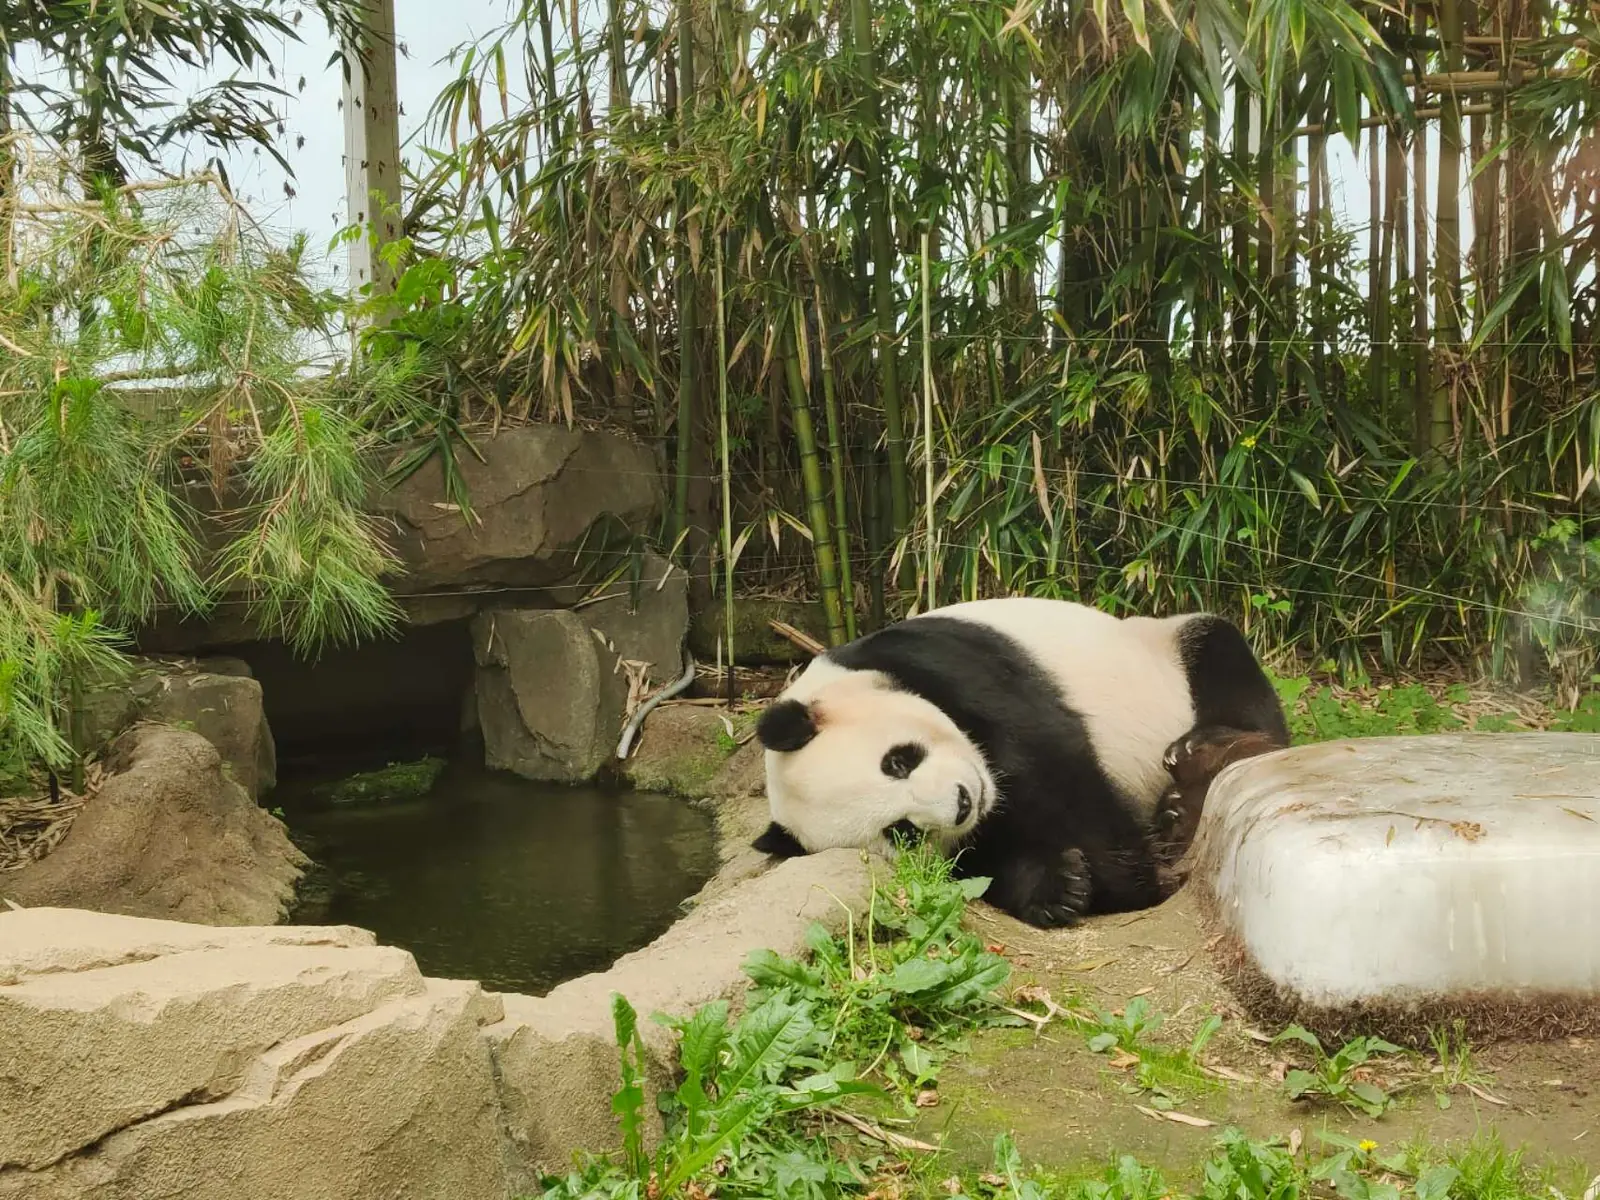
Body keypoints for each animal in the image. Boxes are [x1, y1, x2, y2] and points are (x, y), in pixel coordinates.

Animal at [751, 596, 1289, 928]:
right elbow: (979, 861)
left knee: (1219, 652)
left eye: (898, 762)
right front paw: (1058, 886)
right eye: (901, 831)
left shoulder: (946, 664)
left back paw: (1202, 764)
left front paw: (1138, 883)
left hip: (1163, 647)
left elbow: (1056, 764)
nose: (961, 803)